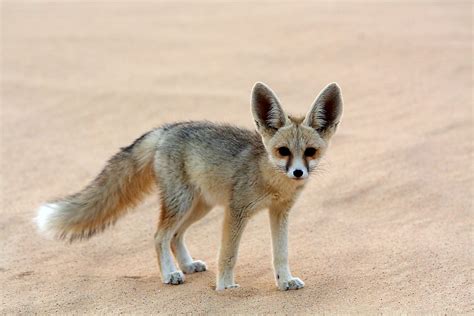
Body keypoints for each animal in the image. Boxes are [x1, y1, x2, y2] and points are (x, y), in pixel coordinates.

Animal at [35, 82, 342, 292]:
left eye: (310, 152)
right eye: (283, 152)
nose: (298, 172)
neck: (270, 179)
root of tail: (167, 129)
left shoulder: (280, 213)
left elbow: (281, 253)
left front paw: (285, 281)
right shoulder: (236, 211)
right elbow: (228, 254)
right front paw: (226, 287)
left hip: (200, 207)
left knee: (174, 236)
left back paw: (186, 265)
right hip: (182, 203)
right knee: (159, 236)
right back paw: (170, 274)